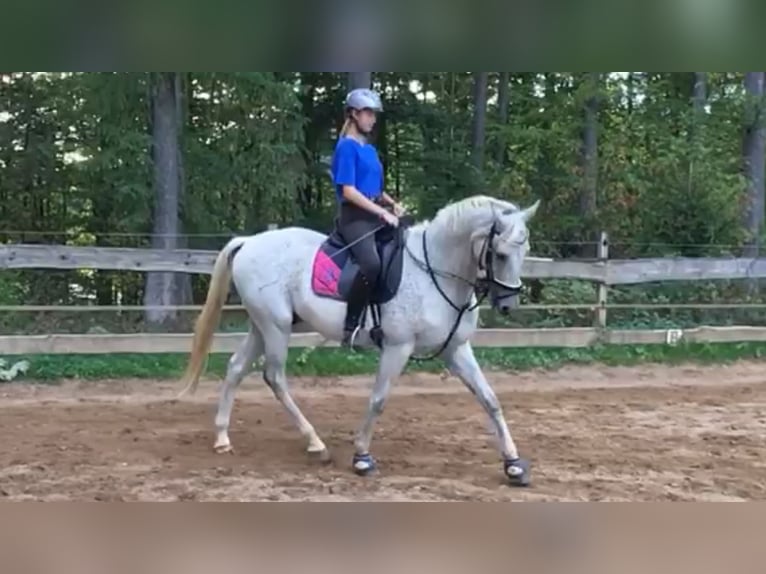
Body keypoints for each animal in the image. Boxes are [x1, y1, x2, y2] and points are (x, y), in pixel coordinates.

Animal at [178, 196, 544, 488]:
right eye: (499, 254)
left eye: (525, 250)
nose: (508, 305)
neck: (435, 271)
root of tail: (249, 242)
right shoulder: (398, 347)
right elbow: (378, 400)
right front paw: (362, 457)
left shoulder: (456, 349)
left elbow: (489, 399)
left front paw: (513, 465)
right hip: (275, 326)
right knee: (274, 377)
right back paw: (316, 443)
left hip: (262, 324)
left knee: (236, 367)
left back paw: (222, 438)